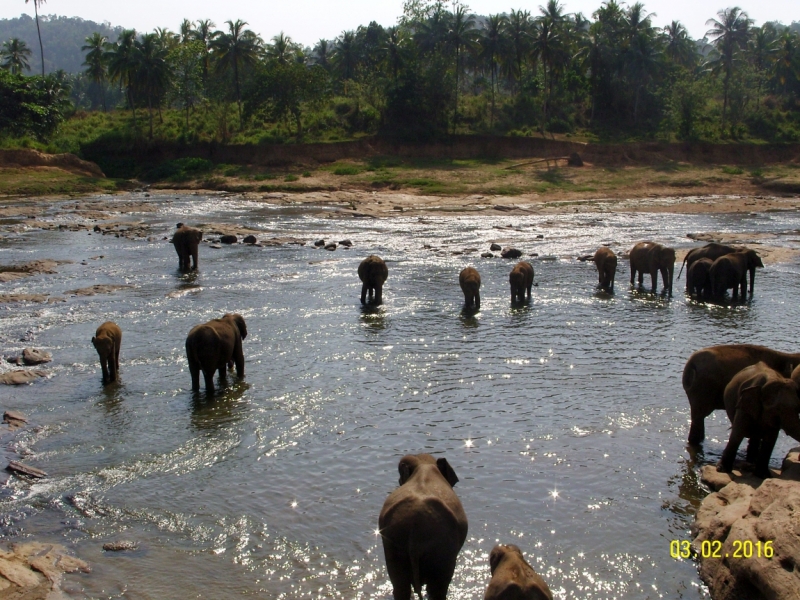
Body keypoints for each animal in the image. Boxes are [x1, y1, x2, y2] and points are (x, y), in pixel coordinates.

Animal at [376, 454, 466, 600]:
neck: (424, 465)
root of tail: (415, 529)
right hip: (442, 552)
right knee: (438, 589)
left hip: (393, 546)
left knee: (400, 586)